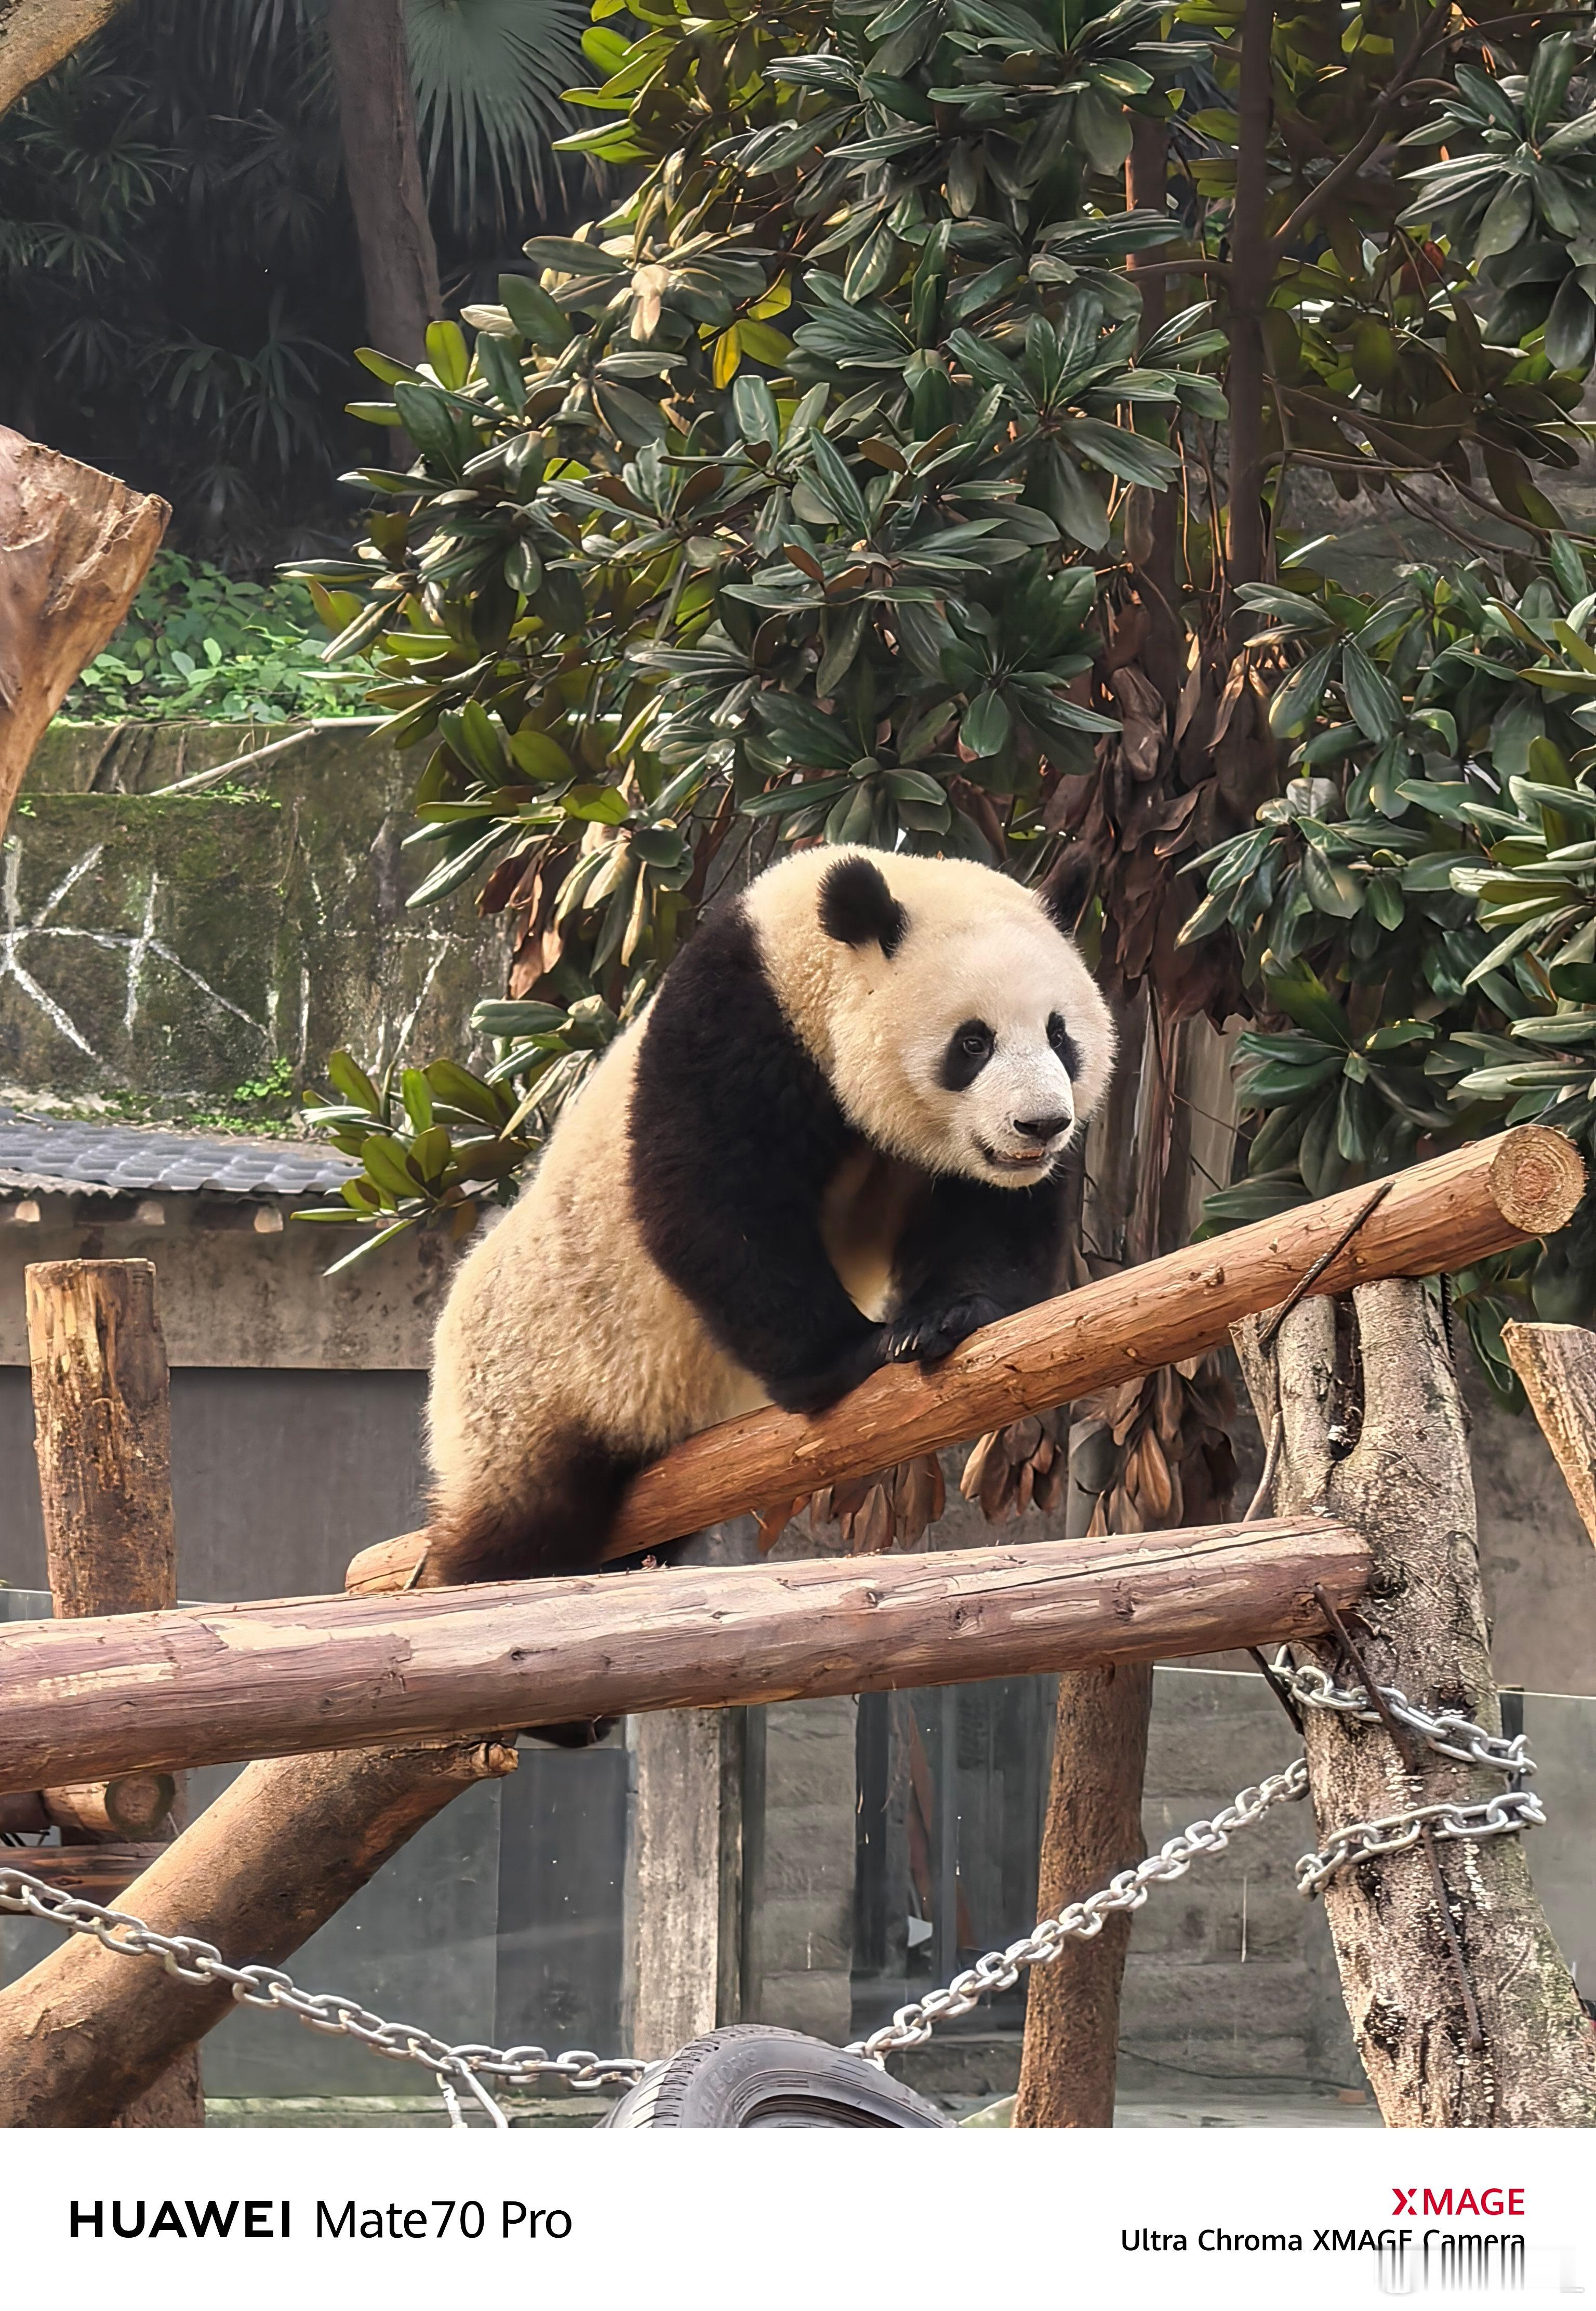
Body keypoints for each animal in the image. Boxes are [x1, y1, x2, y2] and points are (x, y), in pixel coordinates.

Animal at [425, 841, 1122, 1599]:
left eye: (1060, 1034)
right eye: (973, 1043)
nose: (1040, 1125)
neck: (801, 953)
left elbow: (990, 1210)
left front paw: (946, 1316)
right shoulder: (734, 1025)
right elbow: (713, 1201)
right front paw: (850, 1355)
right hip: (530, 1393)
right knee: (521, 1525)